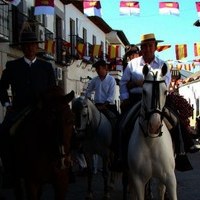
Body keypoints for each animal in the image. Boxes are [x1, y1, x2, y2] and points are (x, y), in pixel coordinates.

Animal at [128, 64, 177, 200]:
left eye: (165, 92)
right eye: (144, 92)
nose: (154, 126)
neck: (151, 142)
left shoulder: (170, 178)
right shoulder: (138, 180)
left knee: (160, 189)